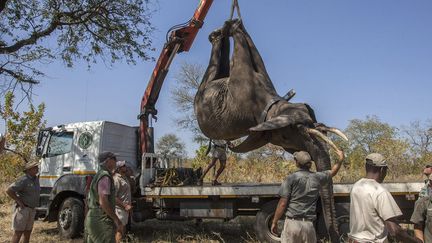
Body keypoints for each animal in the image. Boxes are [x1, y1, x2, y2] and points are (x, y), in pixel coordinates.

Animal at [195, 19, 348, 241]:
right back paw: (217, 34)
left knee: (218, 69)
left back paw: (217, 34)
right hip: (201, 95)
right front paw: (234, 25)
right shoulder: (244, 90)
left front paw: (232, 26)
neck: (272, 105)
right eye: (296, 129)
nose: (337, 233)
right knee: (212, 72)